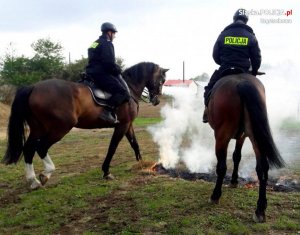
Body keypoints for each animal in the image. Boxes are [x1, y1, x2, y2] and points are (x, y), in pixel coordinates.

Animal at [2, 62, 168, 189]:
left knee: (28, 149)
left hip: (38, 128)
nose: (156, 100)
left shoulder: (128, 125)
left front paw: (142, 164)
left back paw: (33, 181)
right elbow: (112, 147)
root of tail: (33, 87)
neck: (129, 88)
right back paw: (46, 173)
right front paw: (106, 171)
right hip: (59, 128)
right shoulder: (122, 125)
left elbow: (134, 144)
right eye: (161, 80)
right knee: (41, 147)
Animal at [207, 73, 284, 222]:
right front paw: (234, 181)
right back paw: (260, 209)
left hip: (221, 136)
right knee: (262, 168)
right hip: (255, 136)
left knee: (222, 167)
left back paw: (215, 195)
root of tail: (242, 82)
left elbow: (230, 160)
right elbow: (237, 157)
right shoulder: (242, 136)